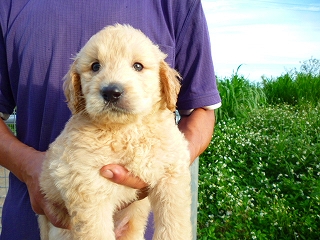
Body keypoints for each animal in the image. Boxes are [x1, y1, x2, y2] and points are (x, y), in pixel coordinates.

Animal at [38, 24, 191, 240]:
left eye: (138, 66)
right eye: (95, 66)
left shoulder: (172, 172)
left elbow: (174, 222)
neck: (127, 131)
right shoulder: (87, 186)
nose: (111, 92)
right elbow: (96, 231)